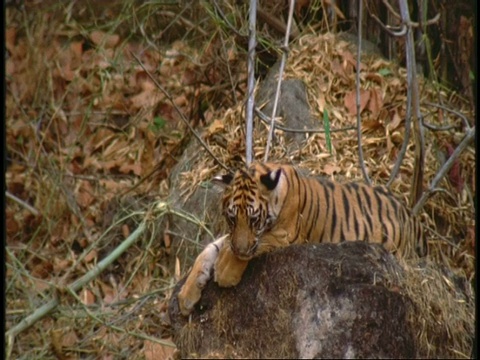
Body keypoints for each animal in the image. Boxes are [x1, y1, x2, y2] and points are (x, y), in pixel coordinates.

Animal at [177, 161, 428, 316]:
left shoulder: (287, 237)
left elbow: (256, 244)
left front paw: (225, 270)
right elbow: (209, 250)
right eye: (231, 218)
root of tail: (411, 214)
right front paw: (187, 296)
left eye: (254, 220)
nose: (239, 250)